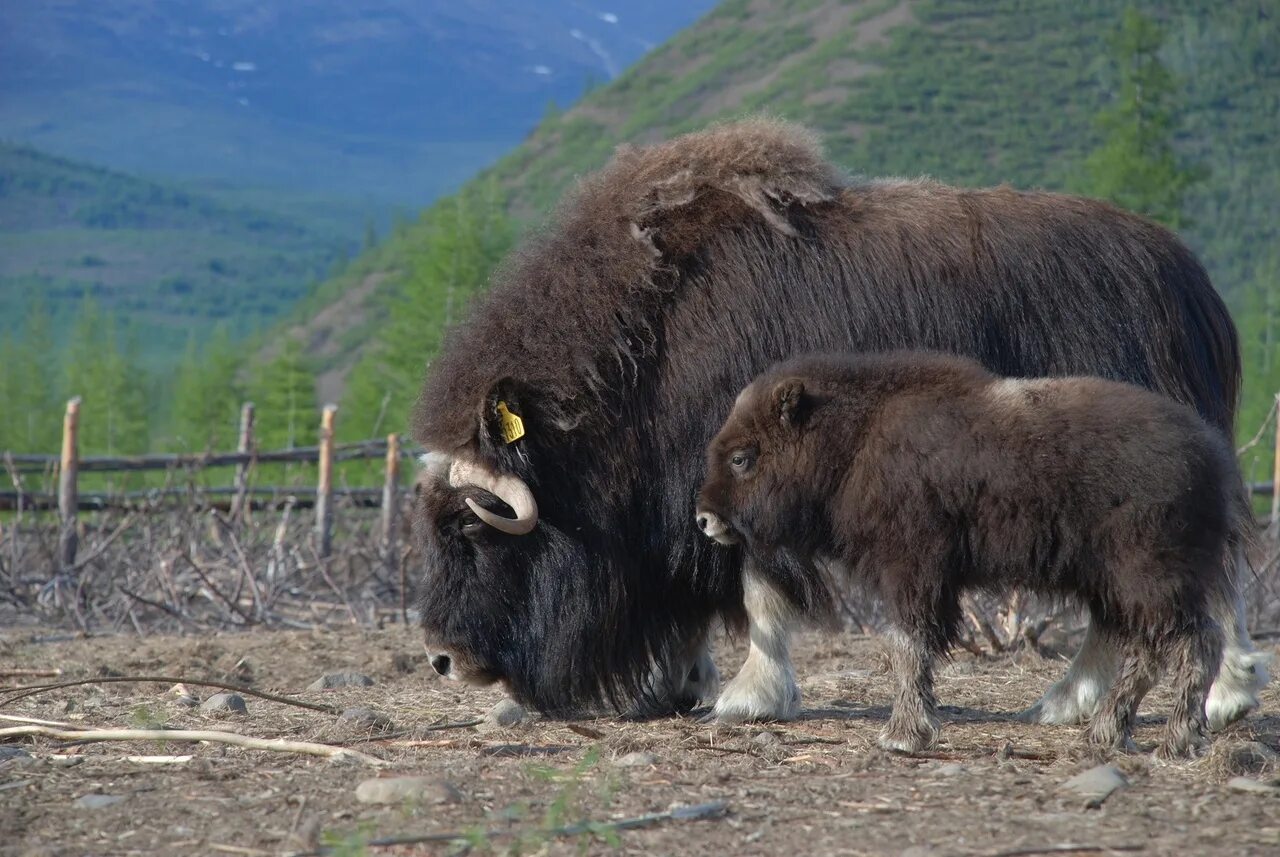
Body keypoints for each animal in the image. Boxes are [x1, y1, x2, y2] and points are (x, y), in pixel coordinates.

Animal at [696, 350, 1244, 757]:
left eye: (742, 458)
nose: (704, 519)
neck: (853, 439)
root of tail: (1210, 456)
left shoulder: (911, 569)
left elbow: (908, 645)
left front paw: (901, 736)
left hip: (1147, 578)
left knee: (1193, 643)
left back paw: (1175, 738)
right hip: (1122, 585)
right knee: (1155, 651)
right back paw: (1108, 733)